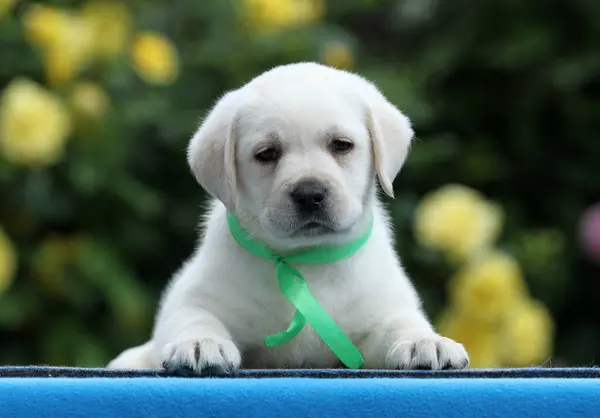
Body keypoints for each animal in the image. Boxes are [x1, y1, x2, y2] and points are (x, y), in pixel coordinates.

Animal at [110, 62, 472, 376]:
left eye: (341, 145)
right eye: (267, 153)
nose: (310, 193)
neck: (304, 261)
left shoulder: (379, 312)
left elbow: (400, 323)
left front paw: (426, 341)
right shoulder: (199, 295)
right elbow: (194, 317)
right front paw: (200, 343)